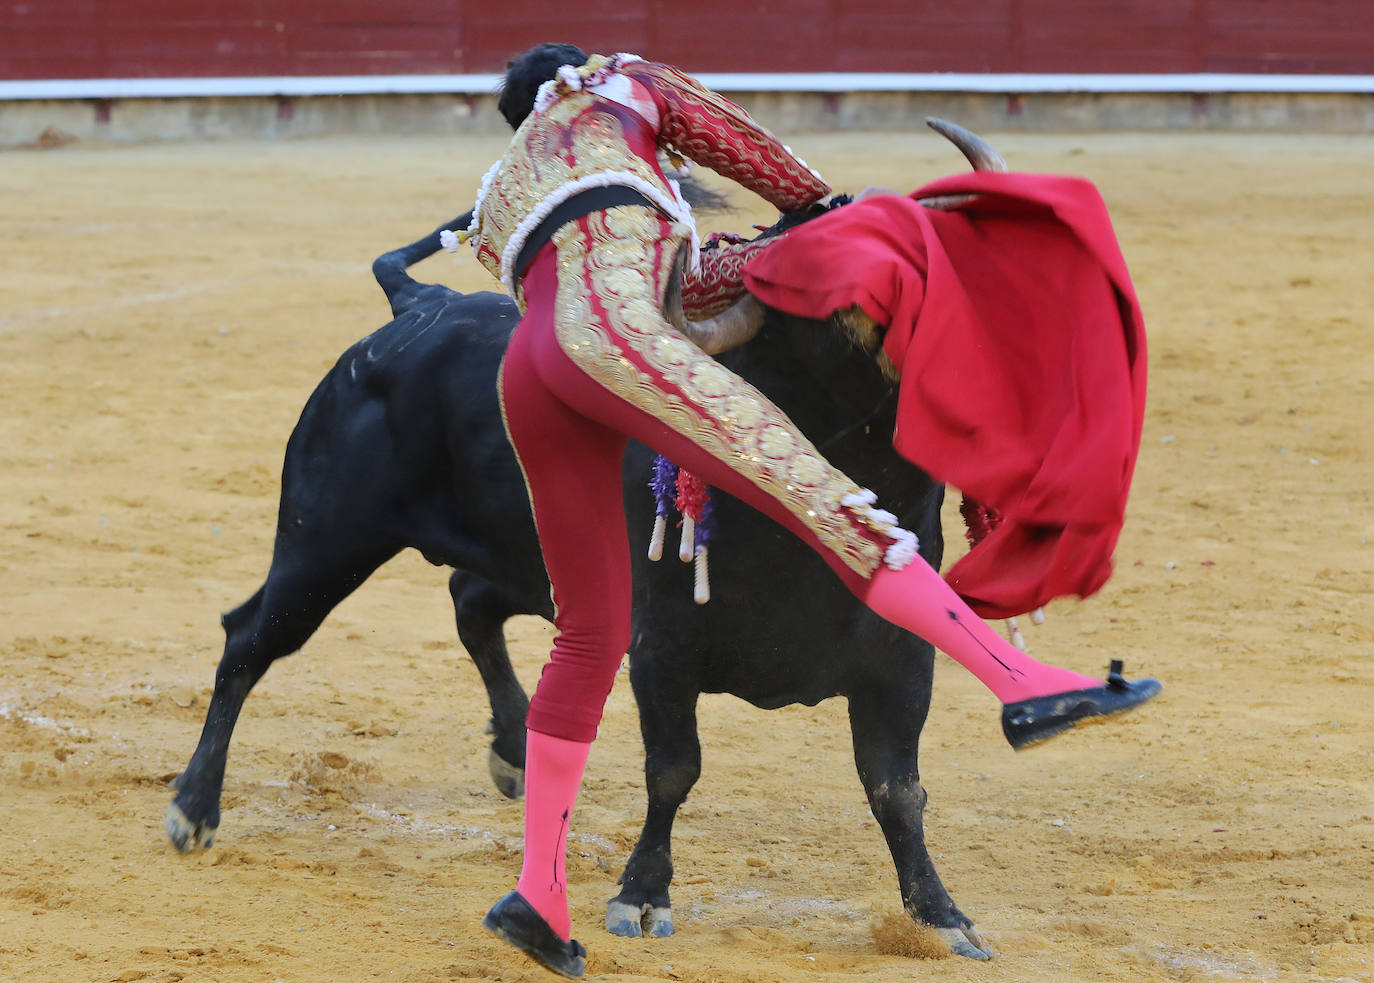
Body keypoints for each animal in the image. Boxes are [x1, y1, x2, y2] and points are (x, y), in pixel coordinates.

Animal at [166, 208, 994, 962]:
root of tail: (421, 303)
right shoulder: (661, 648)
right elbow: (674, 769)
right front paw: (642, 896)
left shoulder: (901, 663)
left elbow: (897, 790)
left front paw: (940, 914)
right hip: (324, 545)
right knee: (249, 638)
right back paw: (194, 807)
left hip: (515, 560)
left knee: (468, 601)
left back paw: (514, 747)